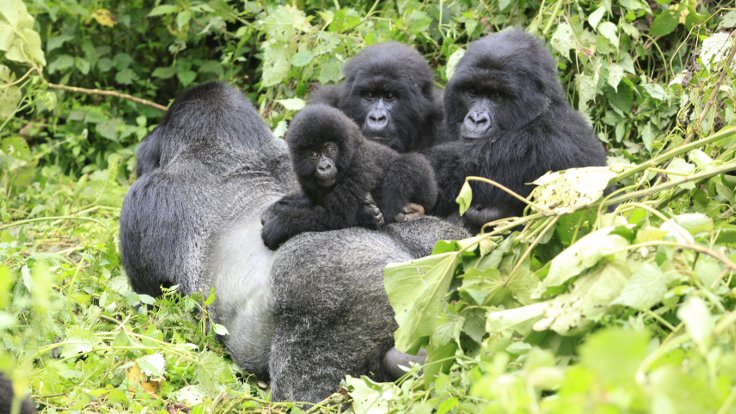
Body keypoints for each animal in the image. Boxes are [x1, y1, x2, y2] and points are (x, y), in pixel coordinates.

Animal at [260, 105, 436, 251]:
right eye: (314, 155)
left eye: (329, 150)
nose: (325, 167)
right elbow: (310, 201)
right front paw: (274, 209)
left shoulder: (358, 167)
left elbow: (339, 217)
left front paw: (278, 226)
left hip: (428, 188)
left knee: (408, 164)